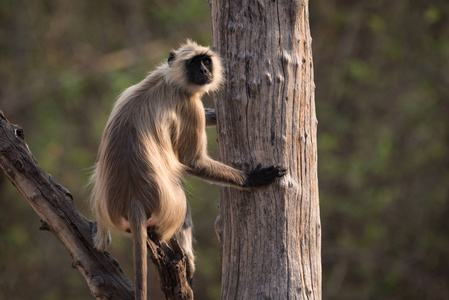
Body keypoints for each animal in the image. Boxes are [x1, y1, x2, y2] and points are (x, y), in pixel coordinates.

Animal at [91, 40, 288, 300]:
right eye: (194, 64)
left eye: (206, 61)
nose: (204, 71)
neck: (170, 80)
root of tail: (133, 200)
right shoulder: (188, 105)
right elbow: (192, 160)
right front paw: (252, 178)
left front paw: (213, 115)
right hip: (168, 206)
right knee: (182, 202)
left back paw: (99, 241)